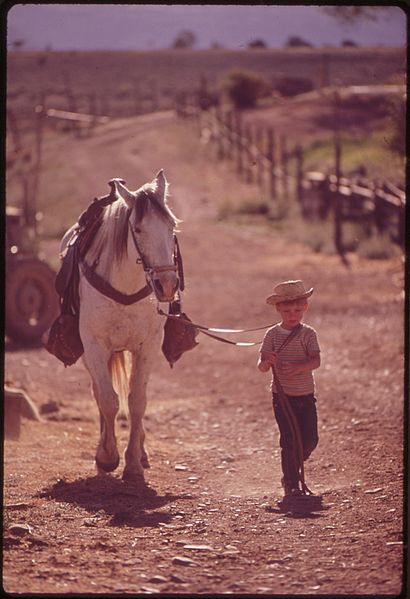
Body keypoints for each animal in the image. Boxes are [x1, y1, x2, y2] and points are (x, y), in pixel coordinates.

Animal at [60, 169, 181, 482]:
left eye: (171, 226)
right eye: (137, 229)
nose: (167, 285)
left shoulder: (146, 347)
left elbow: (137, 400)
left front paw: (134, 463)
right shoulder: (94, 347)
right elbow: (108, 400)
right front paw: (107, 457)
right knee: (99, 393)